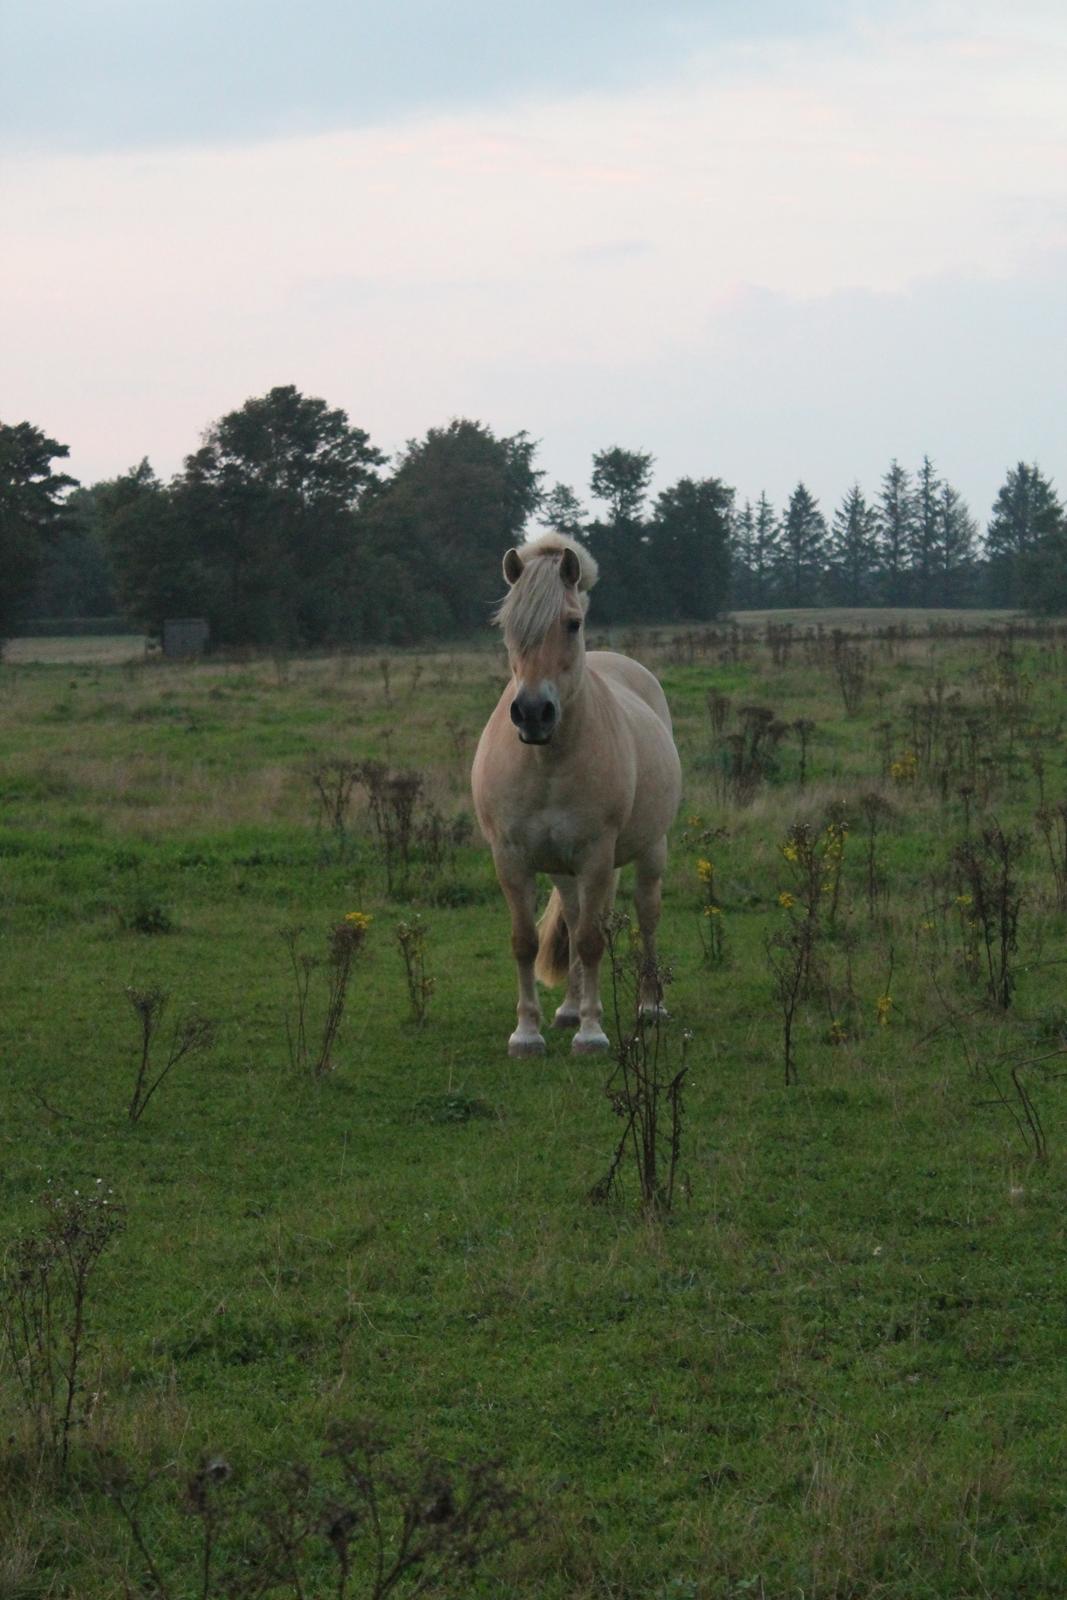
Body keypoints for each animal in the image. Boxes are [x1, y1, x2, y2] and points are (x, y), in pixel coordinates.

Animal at [470, 534, 684, 1062]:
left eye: (572, 623)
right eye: (508, 627)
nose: (532, 713)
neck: (547, 760)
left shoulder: (595, 855)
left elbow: (589, 941)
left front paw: (591, 1032)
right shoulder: (511, 858)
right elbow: (526, 942)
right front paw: (528, 1033)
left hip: (650, 850)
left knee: (647, 914)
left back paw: (650, 1006)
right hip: (563, 870)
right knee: (569, 914)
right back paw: (568, 1008)